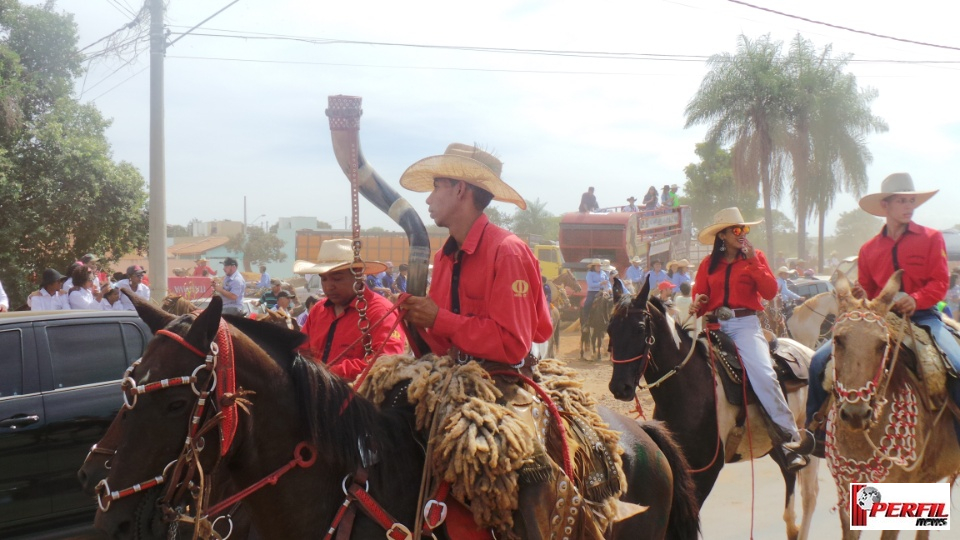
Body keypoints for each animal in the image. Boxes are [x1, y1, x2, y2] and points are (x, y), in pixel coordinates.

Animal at [608, 278, 816, 540]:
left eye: (639, 329)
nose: (620, 387)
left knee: (810, 493)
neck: (690, 387)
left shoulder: (707, 469)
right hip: (774, 445)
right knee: (789, 473)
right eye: (610, 330)